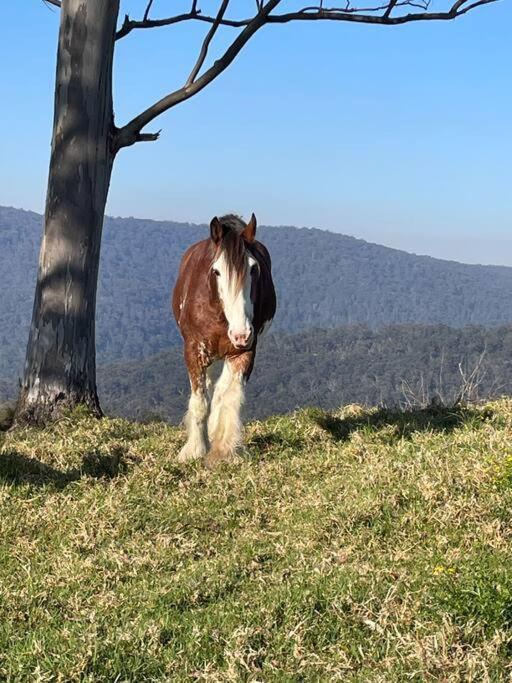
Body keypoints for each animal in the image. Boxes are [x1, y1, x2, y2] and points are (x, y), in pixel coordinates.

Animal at [172, 215, 276, 470]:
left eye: (254, 268)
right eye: (217, 271)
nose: (241, 334)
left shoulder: (245, 352)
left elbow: (230, 396)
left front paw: (224, 450)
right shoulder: (194, 350)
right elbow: (200, 401)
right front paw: (194, 450)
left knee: (220, 390)